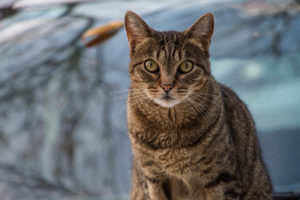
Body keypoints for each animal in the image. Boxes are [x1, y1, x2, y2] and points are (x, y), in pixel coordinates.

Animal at [123, 10, 272, 200]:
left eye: (186, 66)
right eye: (150, 65)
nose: (167, 86)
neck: (170, 129)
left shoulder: (221, 176)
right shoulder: (154, 179)